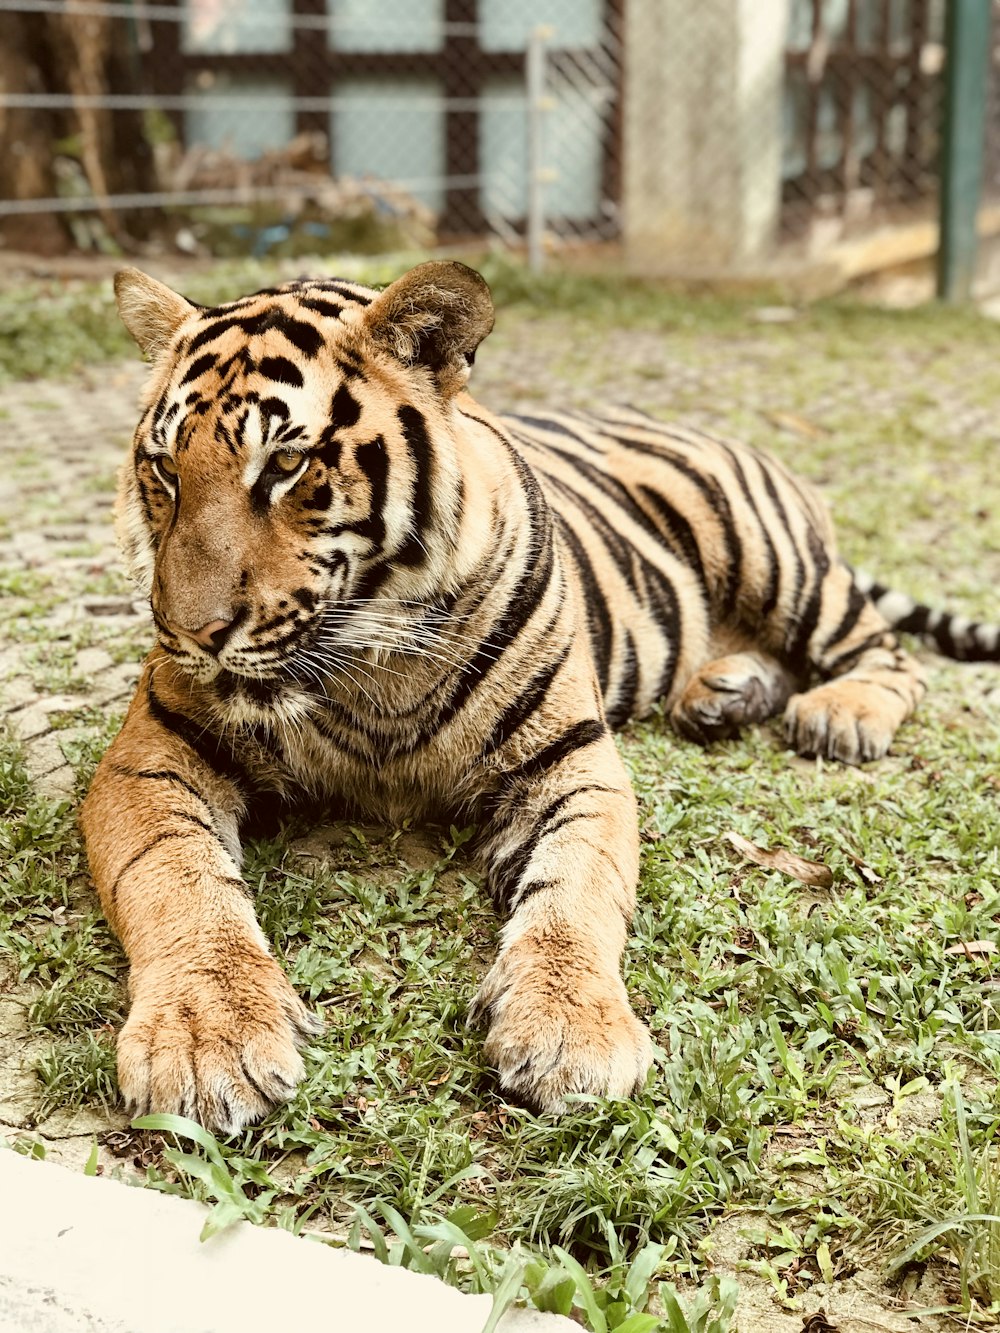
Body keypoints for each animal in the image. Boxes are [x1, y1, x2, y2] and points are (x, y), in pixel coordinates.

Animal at [82, 262, 1000, 1135]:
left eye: (285, 464)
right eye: (164, 469)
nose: (189, 632)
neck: (369, 665)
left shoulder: (574, 761)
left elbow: (577, 891)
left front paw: (570, 1031)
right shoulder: (150, 755)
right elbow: (175, 876)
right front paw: (207, 1035)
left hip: (774, 557)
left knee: (883, 650)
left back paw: (840, 713)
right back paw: (721, 693)